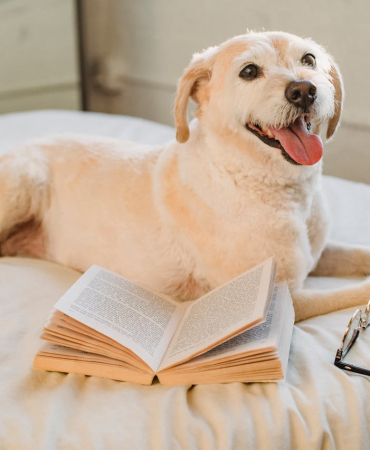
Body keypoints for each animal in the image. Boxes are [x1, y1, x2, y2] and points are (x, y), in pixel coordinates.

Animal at [0, 30, 370, 320]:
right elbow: (351, 293)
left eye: (309, 59)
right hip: (24, 183)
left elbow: (358, 254)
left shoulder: (318, 256)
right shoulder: (285, 297)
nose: (304, 90)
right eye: (249, 71)